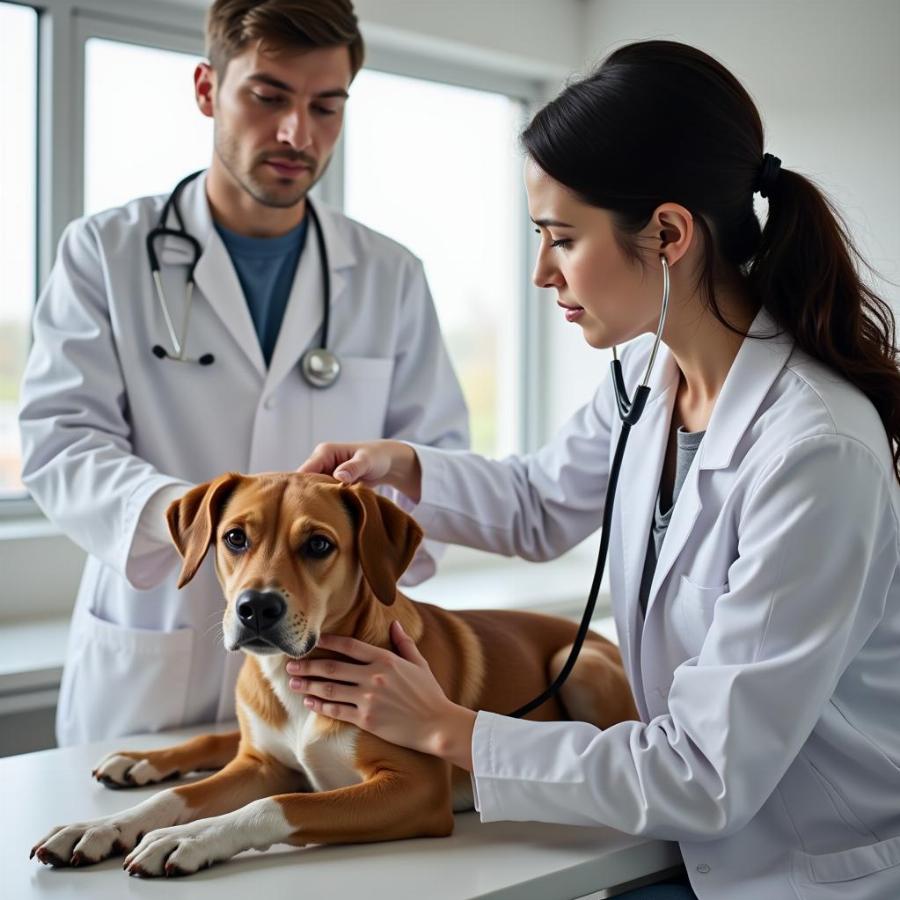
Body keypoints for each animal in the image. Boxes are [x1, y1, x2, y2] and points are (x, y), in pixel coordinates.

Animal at [31, 474, 636, 876]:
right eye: (234, 538)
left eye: (319, 544)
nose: (256, 608)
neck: (296, 676)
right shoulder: (262, 765)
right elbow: (177, 797)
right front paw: (103, 826)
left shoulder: (414, 791)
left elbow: (278, 805)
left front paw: (189, 838)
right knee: (216, 740)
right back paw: (140, 762)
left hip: (576, 664)